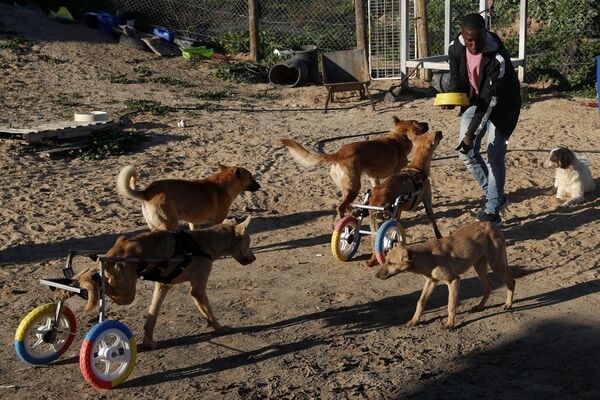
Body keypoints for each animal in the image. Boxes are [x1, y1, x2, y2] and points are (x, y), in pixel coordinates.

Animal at [65, 217, 253, 348]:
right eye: (249, 242)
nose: (254, 258)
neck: (205, 242)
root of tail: (115, 253)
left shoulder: (163, 286)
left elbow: (152, 317)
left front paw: (148, 342)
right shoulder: (198, 289)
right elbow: (209, 311)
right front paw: (219, 328)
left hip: (117, 282)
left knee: (88, 272)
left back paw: (73, 282)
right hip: (127, 294)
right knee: (99, 284)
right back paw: (90, 284)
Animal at [117, 163, 260, 231]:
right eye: (251, 177)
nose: (260, 185)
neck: (224, 185)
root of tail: (146, 192)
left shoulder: (193, 223)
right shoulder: (218, 220)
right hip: (169, 224)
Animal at [280, 118, 426, 217]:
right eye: (418, 123)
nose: (428, 123)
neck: (398, 138)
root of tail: (338, 154)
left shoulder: (374, 178)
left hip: (348, 187)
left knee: (346, 203)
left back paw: (353, 213)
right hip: (354, 186)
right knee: (340, 208)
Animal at [366, 131, 446, 268]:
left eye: (429, 133)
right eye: (435, 136)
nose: (439, 132)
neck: (416, 168)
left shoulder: (399, 211)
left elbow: (395, 230)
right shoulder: (427, 203)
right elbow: (433, 222)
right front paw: (439, 237)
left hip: (375, 219)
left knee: (373, 238)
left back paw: (373, 259)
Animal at [378, 222, 512, 328]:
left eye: (391, 263)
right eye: (386, 260)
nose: (376, 275)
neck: (427, 257)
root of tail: (492, 224)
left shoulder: (454, 280)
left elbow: (451, 305)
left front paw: (450, 324)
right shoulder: (431, 282)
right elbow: (420, 302)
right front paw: (414, 321)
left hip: (496, 264)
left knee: (511, 282)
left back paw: (508, 304)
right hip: (479, 267)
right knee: (489, 287)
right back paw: (479, 306)